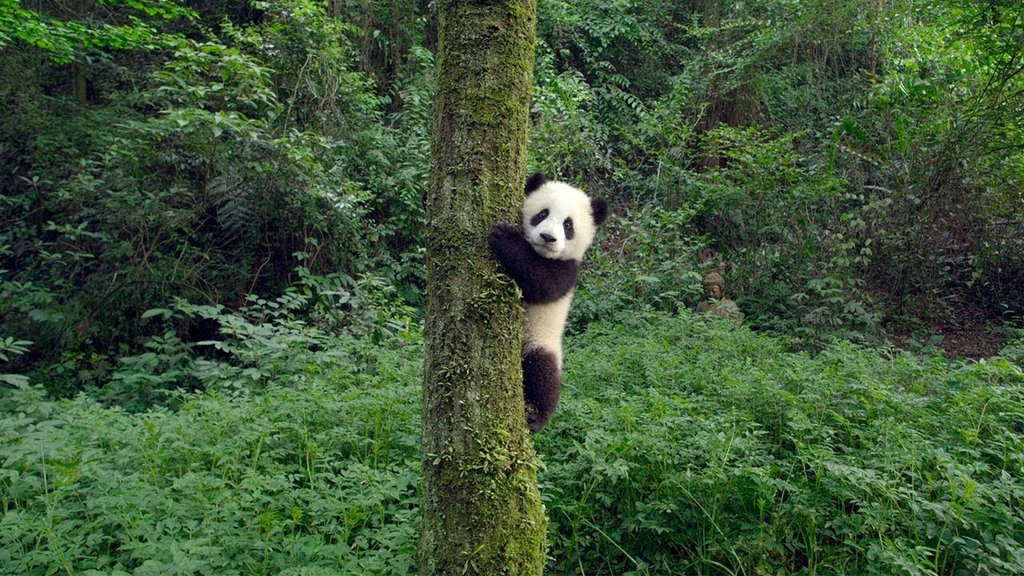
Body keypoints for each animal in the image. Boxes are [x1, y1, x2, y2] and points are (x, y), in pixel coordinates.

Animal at [489, 172, 609, 432]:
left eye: (568, 225)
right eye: (542, 213)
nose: (548, 237)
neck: (542, 253)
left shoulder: (567, 271)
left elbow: (542, 282)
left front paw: (505, 237)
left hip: (541, 341)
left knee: (542, 374)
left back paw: (536, 417)